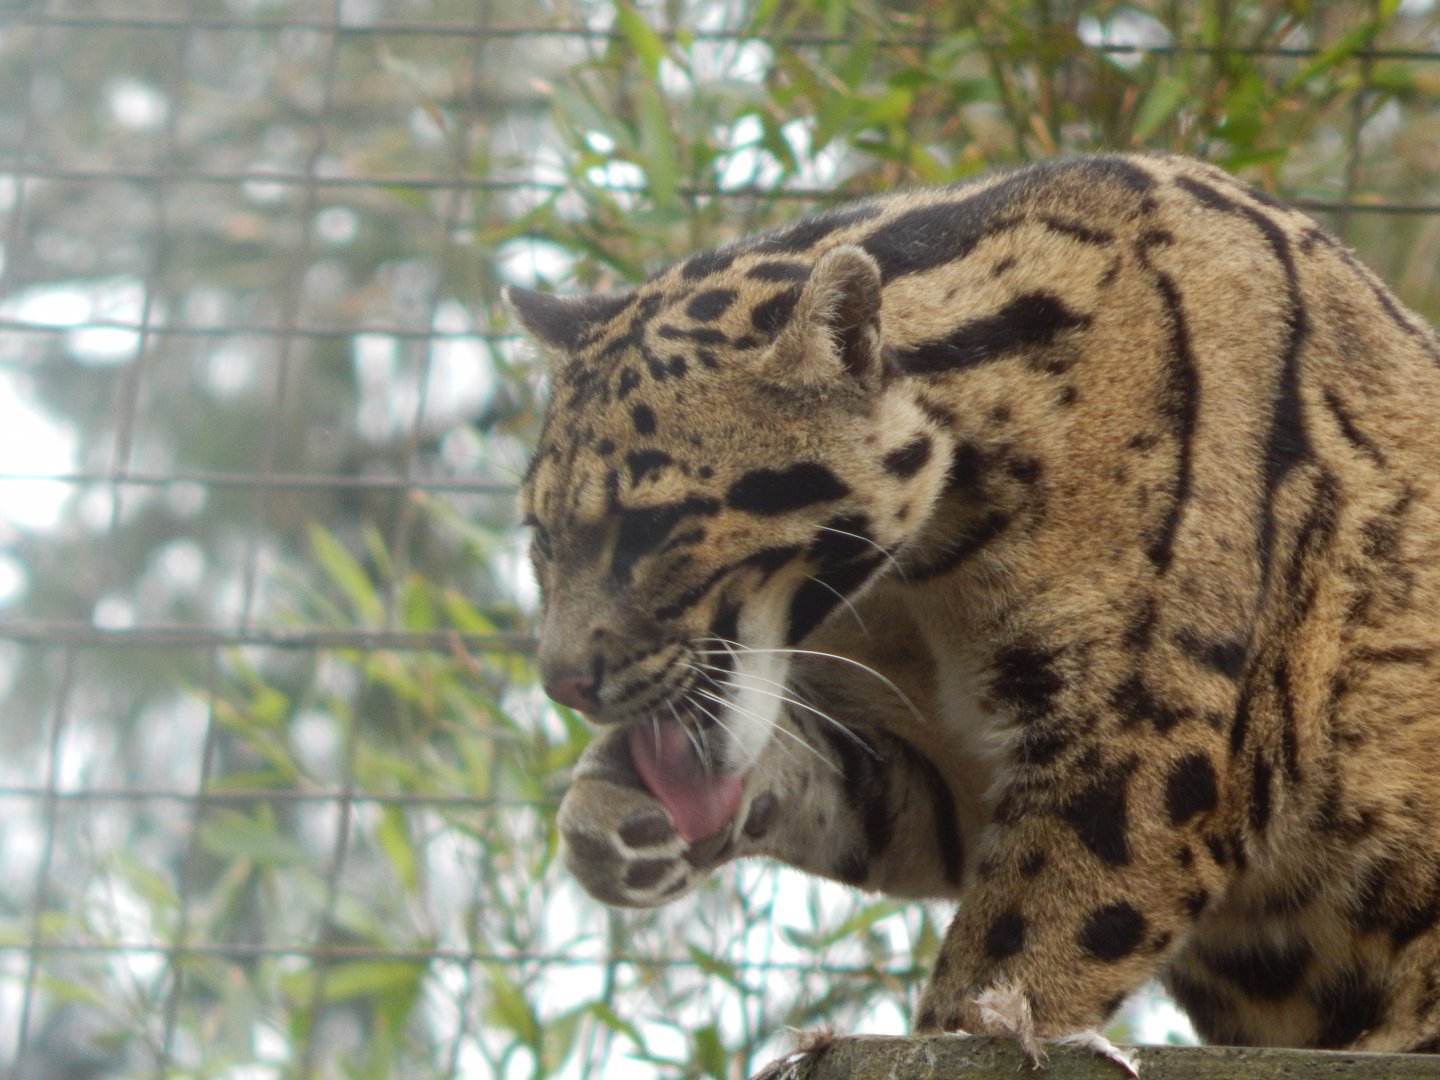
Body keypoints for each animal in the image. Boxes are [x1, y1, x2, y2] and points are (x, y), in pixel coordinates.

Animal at [506, 152, 1440, 1060]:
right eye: (540, 535)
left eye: (652, 524)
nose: (562, 684)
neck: (928, 578)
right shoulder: (942, 767)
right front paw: (615, 811)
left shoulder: (1139, 742)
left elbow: (1024, 943)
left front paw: (969, 1026)